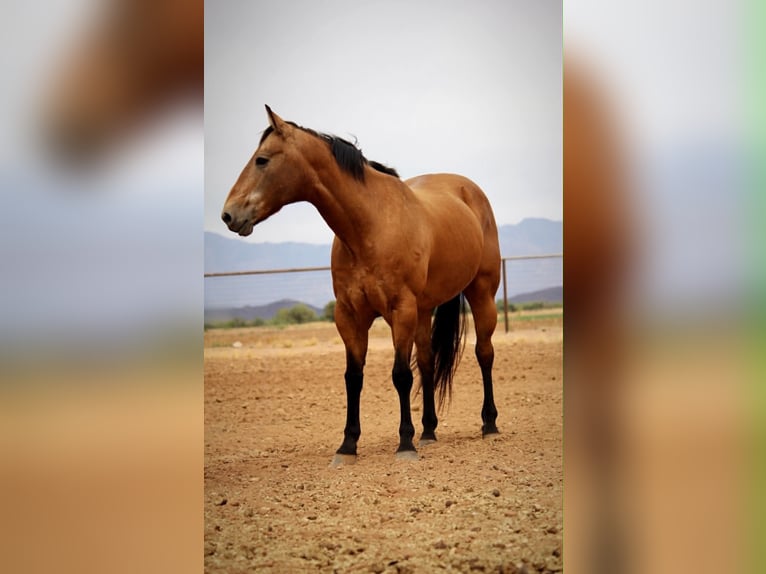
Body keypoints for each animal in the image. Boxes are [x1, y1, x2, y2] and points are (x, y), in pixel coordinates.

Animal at [222, 106, 501, 466]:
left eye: (262, 160)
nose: (228, 214)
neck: (370, 227)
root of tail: (468, 191)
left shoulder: (400, 310)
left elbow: (401, 375)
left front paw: (405, 444)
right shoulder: (350, 315)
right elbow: (353, 378)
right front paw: (347, 446)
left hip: (482, 293)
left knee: (484, 353)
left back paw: (489, 424)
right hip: (425, 310)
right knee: (427, 363)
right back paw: (428, 431)